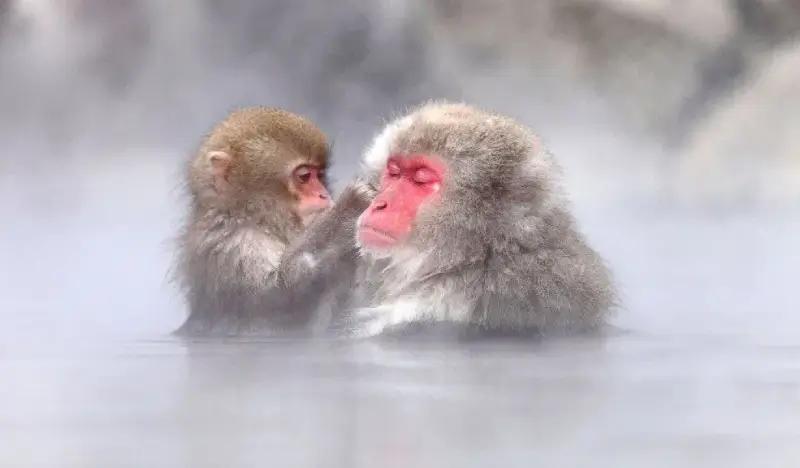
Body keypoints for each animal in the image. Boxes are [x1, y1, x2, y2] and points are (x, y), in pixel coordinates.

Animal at [173, 107, 334, 336]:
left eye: (319, 175)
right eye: (304, 176)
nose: (324, 195)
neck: (254, 219)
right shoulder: (237, 246)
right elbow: (276, 301)